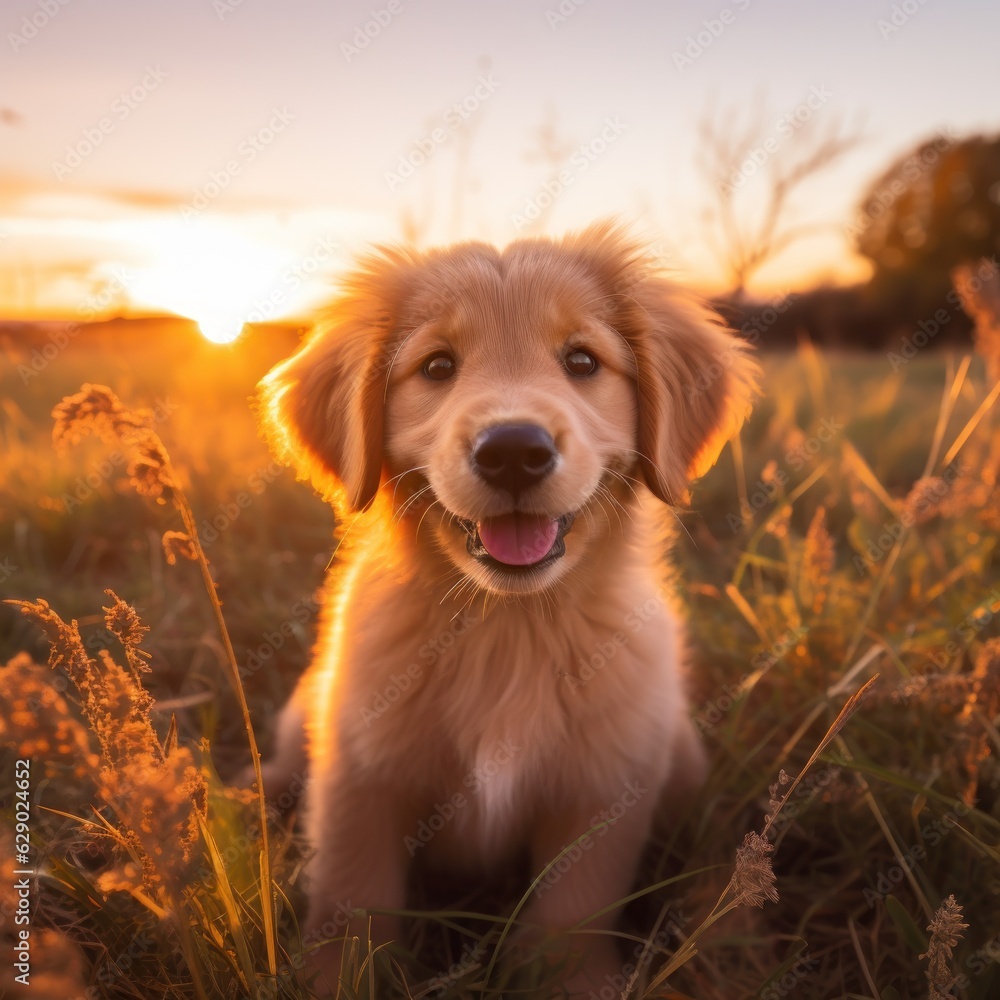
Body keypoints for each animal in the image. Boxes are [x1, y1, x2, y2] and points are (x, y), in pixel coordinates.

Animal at [258, 223, 756, 996]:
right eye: (438, 366)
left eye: (581, 361)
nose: (515, 450)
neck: (508, 625)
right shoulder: (360, 771)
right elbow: (352, 893)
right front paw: (337, 977)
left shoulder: (601, 786)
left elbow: (573, 908)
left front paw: (571, 981)